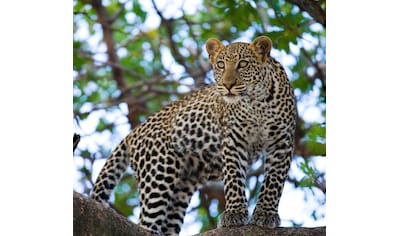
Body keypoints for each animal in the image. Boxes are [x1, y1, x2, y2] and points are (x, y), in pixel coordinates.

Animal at [90, 36, 296, 235]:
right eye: (221, 65)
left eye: (243, 64)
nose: (228, 85)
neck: (256, 103)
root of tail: (133, 133)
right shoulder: (233, 140)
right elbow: (234, 178)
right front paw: (234, 214)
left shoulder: (282, 141)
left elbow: (274, 182)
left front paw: (265, 214)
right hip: (157, 175)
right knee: (146, 222)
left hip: (181, 190)